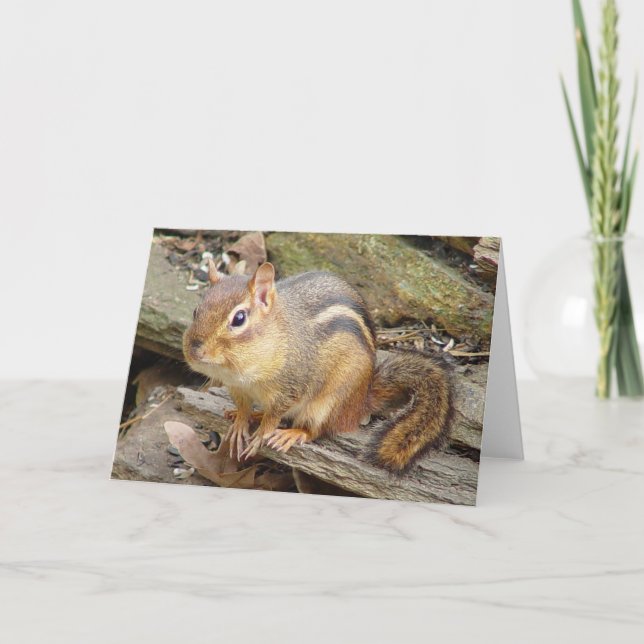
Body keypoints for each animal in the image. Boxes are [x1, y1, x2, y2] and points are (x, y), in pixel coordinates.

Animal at [183, 259, 453, 474]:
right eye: (195, 311)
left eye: (239, 318)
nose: (195, 350)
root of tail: (362, 400)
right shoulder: (237, 388)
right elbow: (243, 407)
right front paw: (240, 422)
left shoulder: (292, 385)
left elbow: (275, 415)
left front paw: (261, 435)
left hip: (327, 404)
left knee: (317, 430)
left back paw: (292, 433)